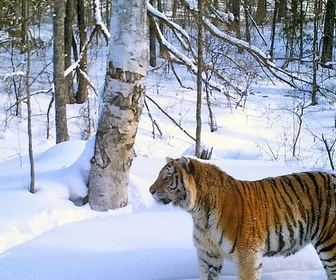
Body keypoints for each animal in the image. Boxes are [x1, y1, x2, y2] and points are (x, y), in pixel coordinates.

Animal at [149, 156, 336, 278]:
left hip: (330, 245)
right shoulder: (208, 255)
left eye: (167, 177)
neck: (199, 213)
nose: (150, 190)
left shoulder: (248, 256)